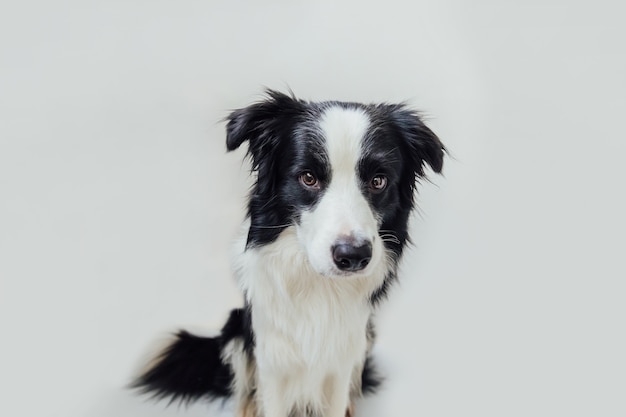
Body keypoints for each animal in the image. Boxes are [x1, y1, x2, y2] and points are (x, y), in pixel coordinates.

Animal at [134, 89, 444, 414]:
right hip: (235, 330)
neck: (319, 287)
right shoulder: (271, 360)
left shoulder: (342, 359)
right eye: (308, 177)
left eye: (378, 181)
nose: (354, 256)